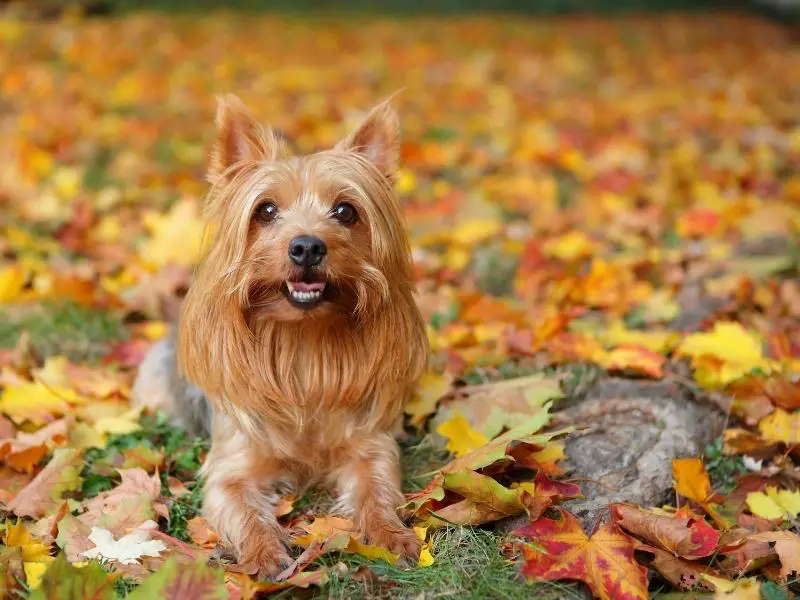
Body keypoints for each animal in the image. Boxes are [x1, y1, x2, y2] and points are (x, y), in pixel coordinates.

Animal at [133, 95, 432, 576]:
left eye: (346, 211)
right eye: (266, 210)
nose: (307, 246)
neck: (302, 342)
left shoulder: (370, 447)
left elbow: (377, 490)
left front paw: (392, 534)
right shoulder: (231, 468)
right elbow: (242, 509)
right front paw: (264, 553)